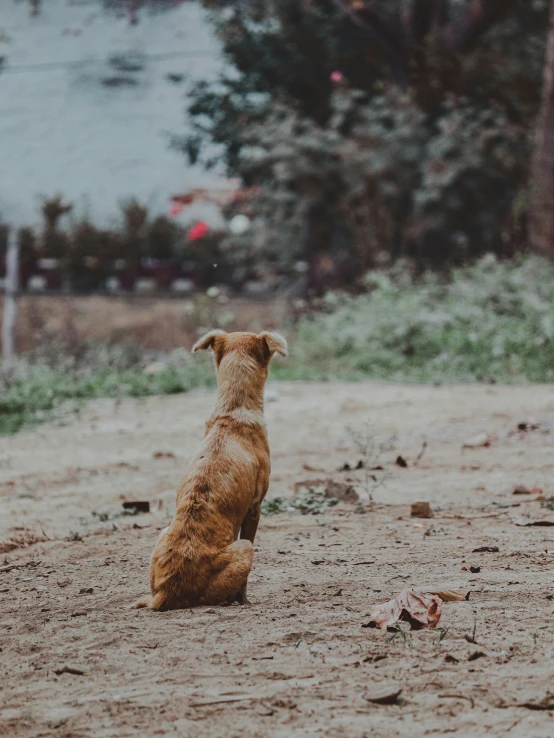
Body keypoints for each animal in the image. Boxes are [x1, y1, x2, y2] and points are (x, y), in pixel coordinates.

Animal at [133, 330, 284, 608]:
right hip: (245, 548)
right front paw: (243, 600)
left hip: (161, 535)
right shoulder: (255, 508)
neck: (232, 411)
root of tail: (166, 593)